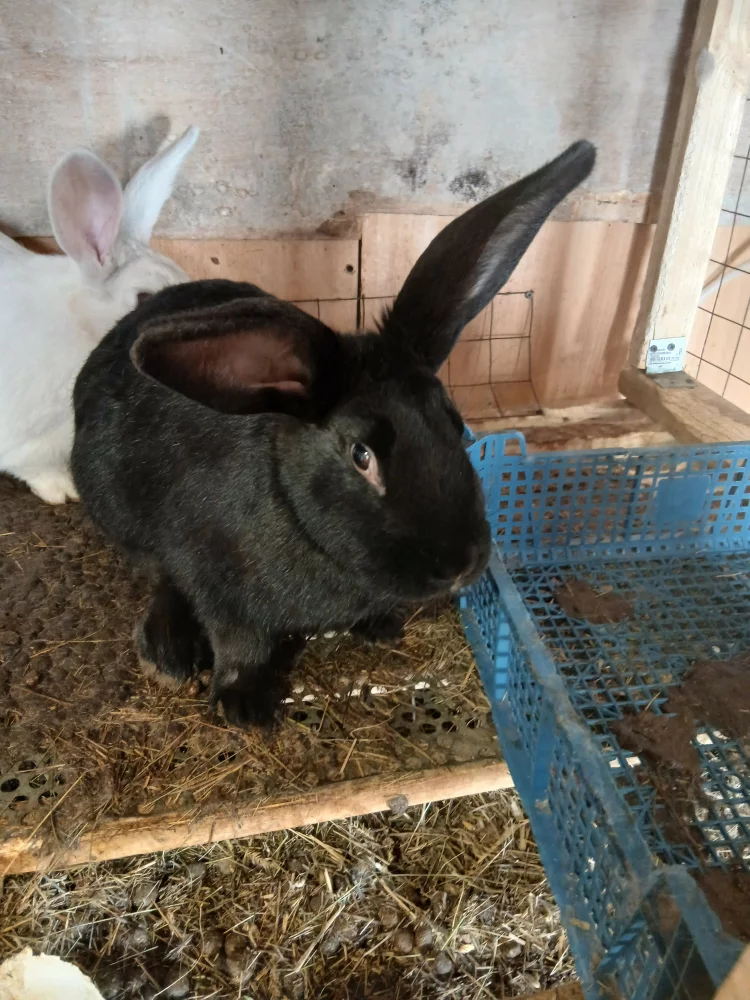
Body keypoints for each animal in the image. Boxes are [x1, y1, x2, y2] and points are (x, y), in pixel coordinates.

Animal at [71, 140, 596, 730]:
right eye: (361, 455)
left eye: (455, 423)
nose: (461, 565)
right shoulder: (219, 586)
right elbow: (239, 641)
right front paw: (245, 707)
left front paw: (380, 627)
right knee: (159, 574)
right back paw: (167, 652)